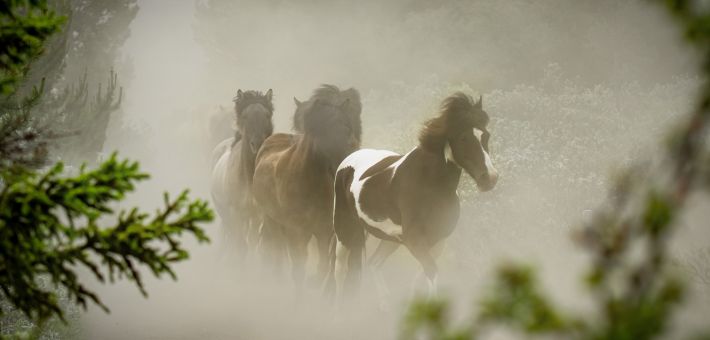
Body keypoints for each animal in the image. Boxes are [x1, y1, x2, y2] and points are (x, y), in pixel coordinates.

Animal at [210, 89, 274, 266]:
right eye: (245, 116)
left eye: (267, 115)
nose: (257, 145)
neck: (248, 176)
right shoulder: (237, 213)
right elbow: (240, 245)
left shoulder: (257, 214)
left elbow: (251, 242)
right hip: (225, 214)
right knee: (233, 238)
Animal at [252, 85, 362, 300]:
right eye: (326, 134)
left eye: (349, 134)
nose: (347, 170)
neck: (311, 183)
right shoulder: (296, 231)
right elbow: (298, 270)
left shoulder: (323, 230)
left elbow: (322, 266)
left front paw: (315, 284)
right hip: (273, 222)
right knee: (276, 253)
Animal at [328, 91, 500, 310]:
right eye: (463, 138)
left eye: (486, 136)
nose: (490, 178)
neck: (429, 185)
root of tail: (349, 159)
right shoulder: (415, 240)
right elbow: (431, 272)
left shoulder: (437, 241)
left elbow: (422, 275)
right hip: (345, 232)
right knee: (340, 271)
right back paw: (337, 314)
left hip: (390, 239)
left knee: (374, 262)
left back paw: (385, 305)